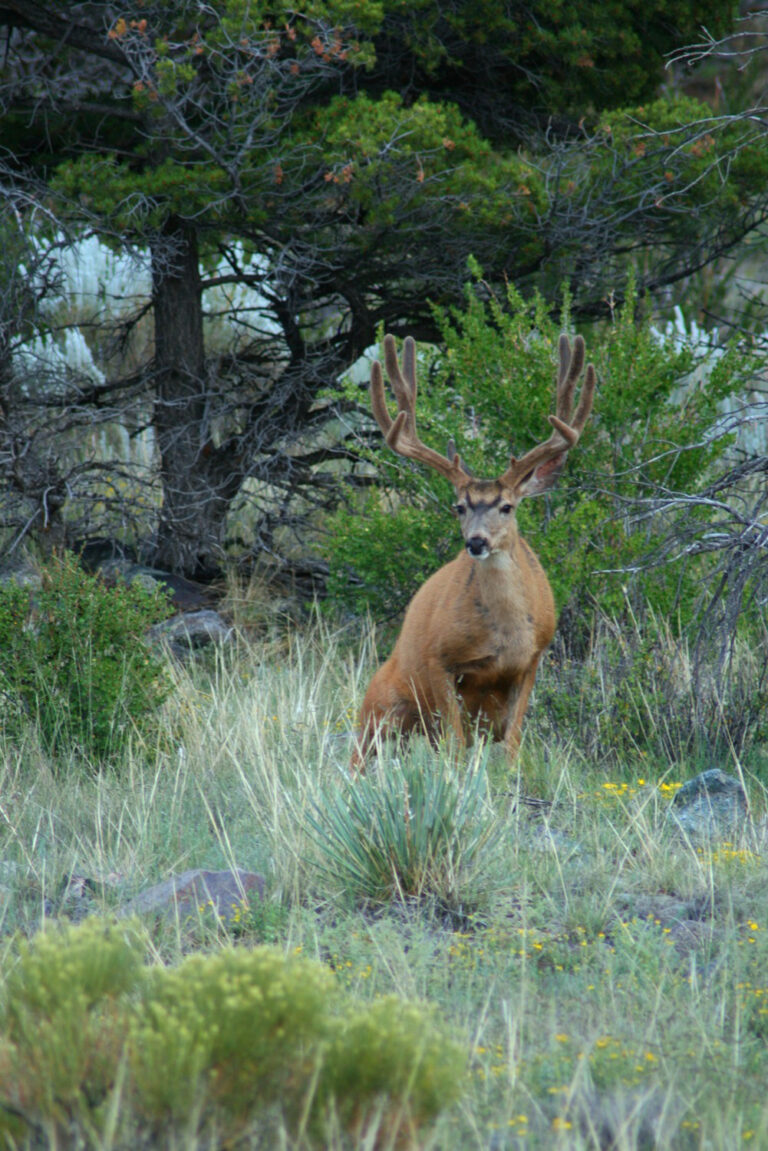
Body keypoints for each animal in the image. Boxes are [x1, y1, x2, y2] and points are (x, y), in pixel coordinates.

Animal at [352, 329, 598, 768]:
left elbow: (513, 744)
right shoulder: (439, 660)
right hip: (377, 705)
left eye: (507, 506)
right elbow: (454, 746)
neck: (505, 636)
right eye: (459, 507)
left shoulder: (533, 660)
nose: (476, 541)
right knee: (359, 755)